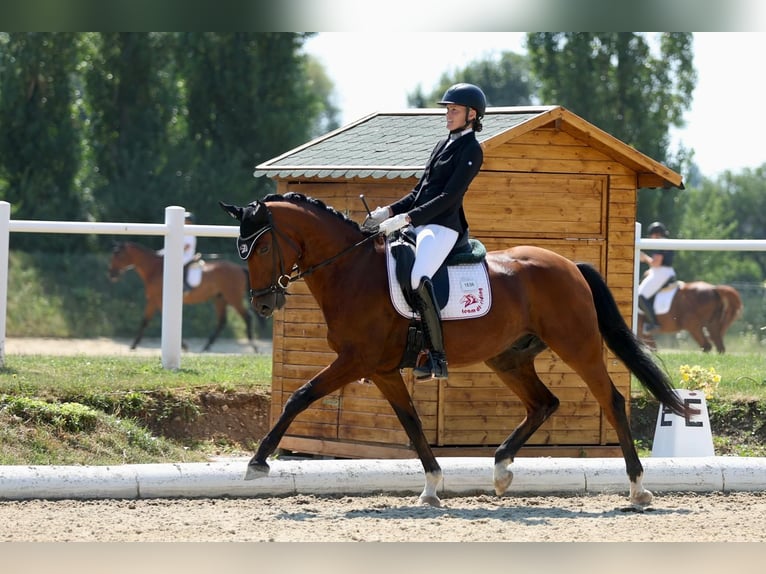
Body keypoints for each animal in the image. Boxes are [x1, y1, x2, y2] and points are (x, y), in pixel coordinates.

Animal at [108, 242, 260, 354]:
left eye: (118, 256)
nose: (111, 274)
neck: (155, 269)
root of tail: (239, 268)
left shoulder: (158, 300)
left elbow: (157, 319)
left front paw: (184, 345)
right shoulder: (152, 300)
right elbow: (144, 321)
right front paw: (133, 345)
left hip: (233, 297)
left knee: (247, 317)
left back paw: (254, 347)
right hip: (219, 299)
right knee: (222, 322)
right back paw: (206, 347)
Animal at [219, 194, 692, 508]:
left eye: (263, 246)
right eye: (242, 251)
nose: (263, 304)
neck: (351, 270)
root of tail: (569, 265)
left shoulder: (355, 361)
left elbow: (299, 397)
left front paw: (257, 463)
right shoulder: (382, 370)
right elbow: (411, 423)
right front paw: (431, 486)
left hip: (577, 345)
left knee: (610, 400)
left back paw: (638, 488)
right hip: (508, 357)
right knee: (543, 403)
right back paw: (500, 470)